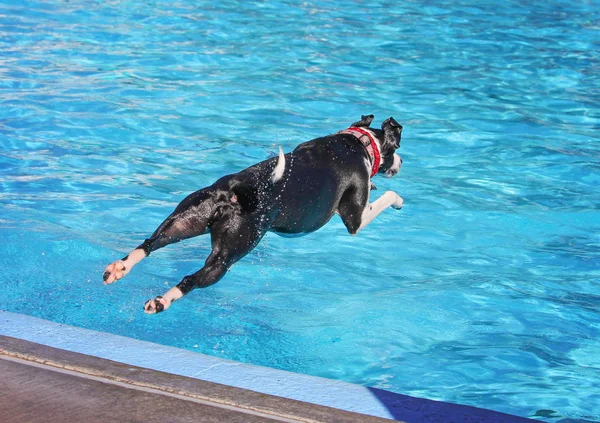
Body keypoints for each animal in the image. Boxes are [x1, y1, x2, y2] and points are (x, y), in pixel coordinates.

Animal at [104, 116, 404, 314]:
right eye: (396, 152)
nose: (400, 163)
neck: (359, 142)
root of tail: (239, 190)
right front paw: (398, 199)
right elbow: (387, 197)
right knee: (191, 279)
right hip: (228, 256)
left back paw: (119, 268)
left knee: (150, 243)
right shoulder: (356, 219)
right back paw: (161, 301)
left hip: (185, 219)